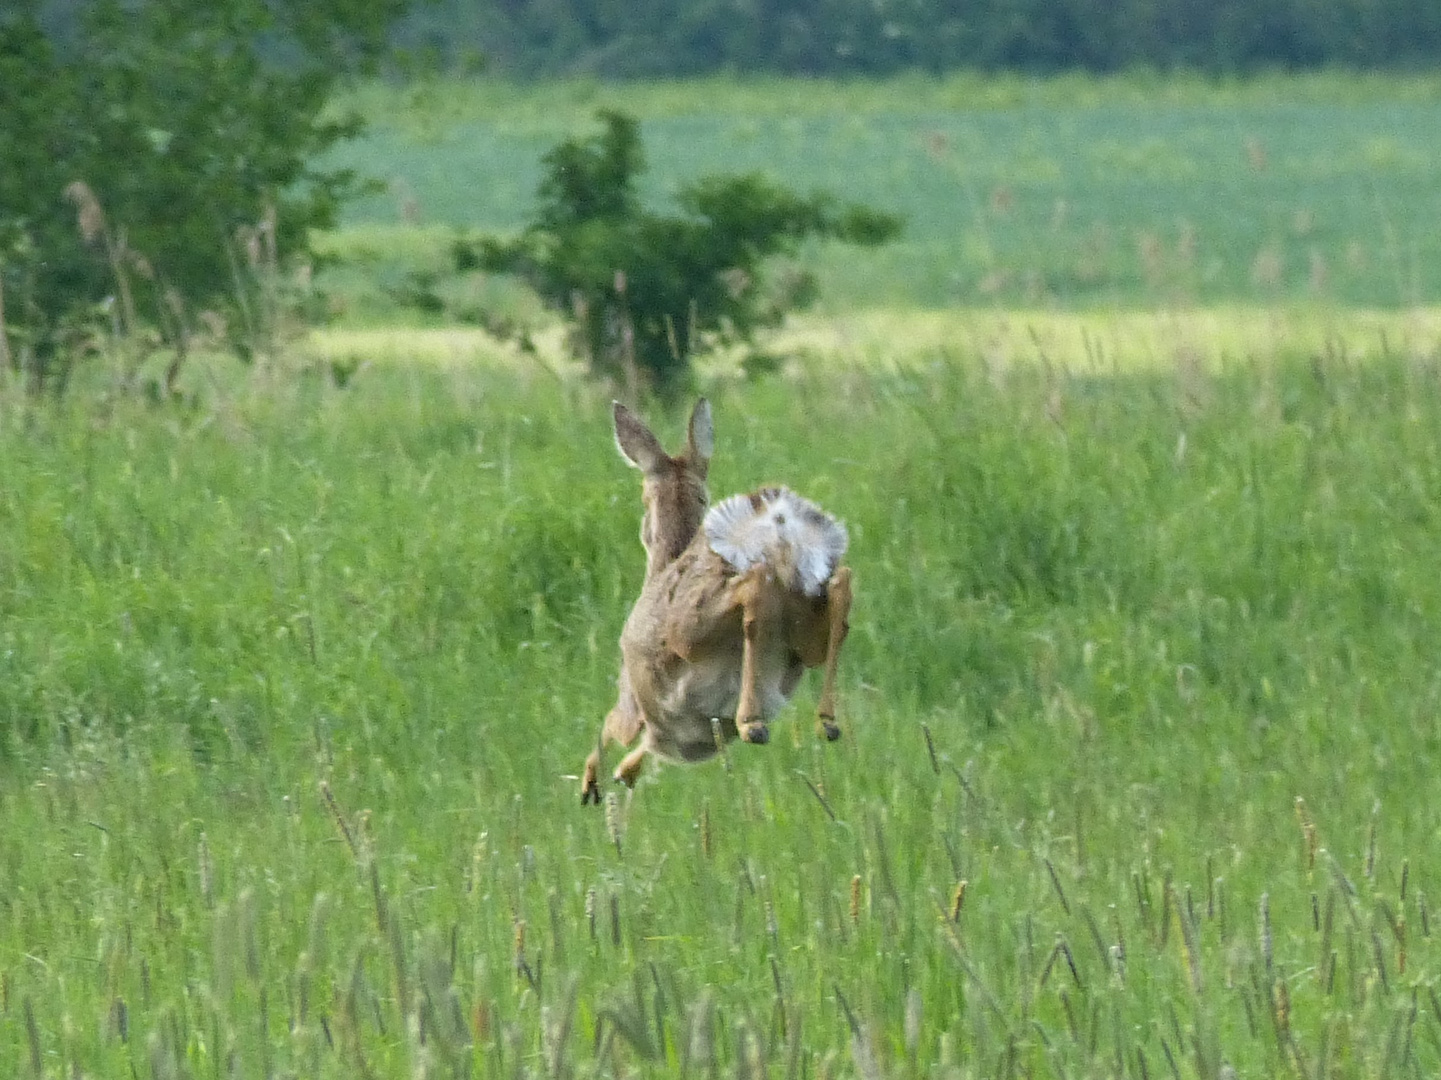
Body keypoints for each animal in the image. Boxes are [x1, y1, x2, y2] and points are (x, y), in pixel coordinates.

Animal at [579, 395, 847, 801]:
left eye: (643, 498)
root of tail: (779, 527)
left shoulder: (632, 703)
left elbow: (611, 728)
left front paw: (593, 781)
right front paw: (624, 774)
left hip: (693, 627)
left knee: (753, 588)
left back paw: (752, 723)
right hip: (802, 621)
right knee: (839, 592)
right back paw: (826, 723)